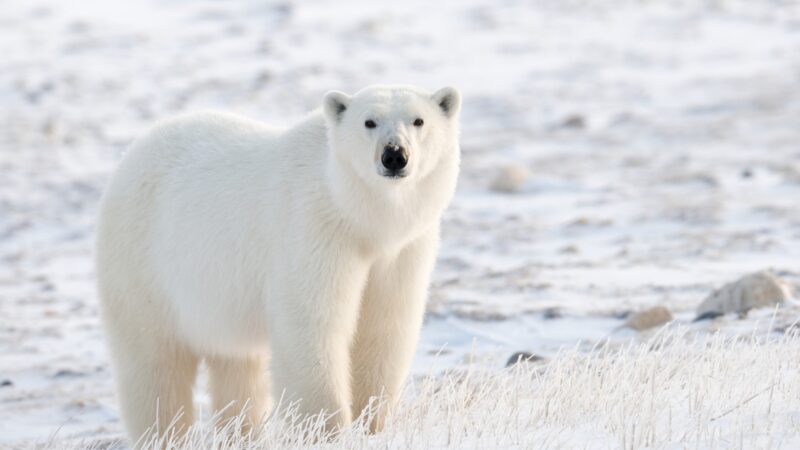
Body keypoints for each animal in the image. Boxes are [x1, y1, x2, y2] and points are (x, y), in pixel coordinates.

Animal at [97, 85, 462, 442]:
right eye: (369, 122)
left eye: (418, 120)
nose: (395, 155)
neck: (359, 218)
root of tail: (134, 151)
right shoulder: (314, 230)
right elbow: (312, 325)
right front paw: (326, 431)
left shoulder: (402, 250)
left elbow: (384, 328)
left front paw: (372, 425)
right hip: (144, 267)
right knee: (155, 366)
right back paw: (164, 435)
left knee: (237, 367)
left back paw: (243, 434)